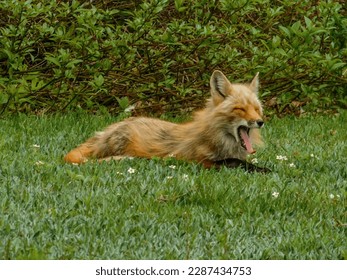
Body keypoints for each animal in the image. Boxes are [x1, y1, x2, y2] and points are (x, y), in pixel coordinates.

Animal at [66, 70, 272, 172]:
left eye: (256, 109)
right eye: (240, 109)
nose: (260, 122)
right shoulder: (197, 160)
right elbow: (236, 163)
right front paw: (263, 170)